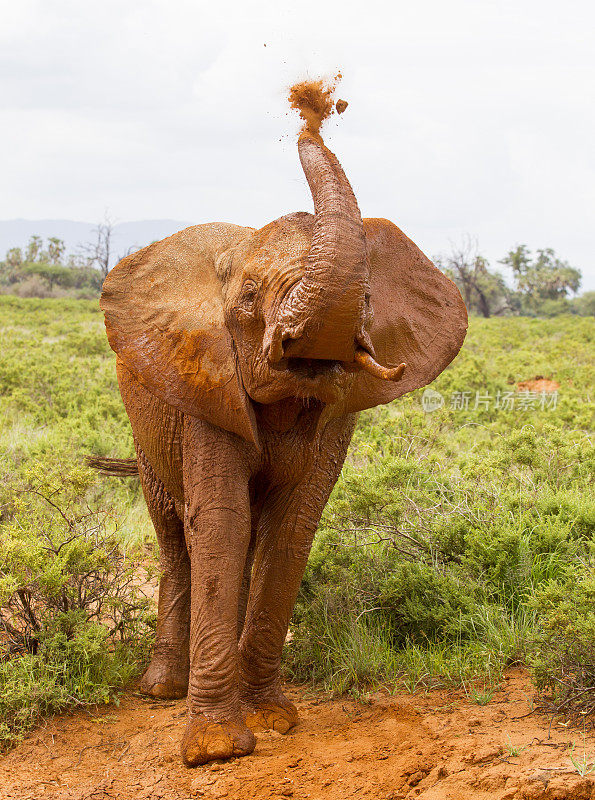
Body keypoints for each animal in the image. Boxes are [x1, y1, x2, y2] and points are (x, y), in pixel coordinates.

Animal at [95, 122, 468, 764]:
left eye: (368, 299)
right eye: (248, 296)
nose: (313, 109)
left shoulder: (335, 414)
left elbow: (290, 526)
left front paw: (271, 717)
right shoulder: (207, 385)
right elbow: (220, 521)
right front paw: (217, 750)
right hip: (145, 424)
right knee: (174, 536)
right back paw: (163, 690)